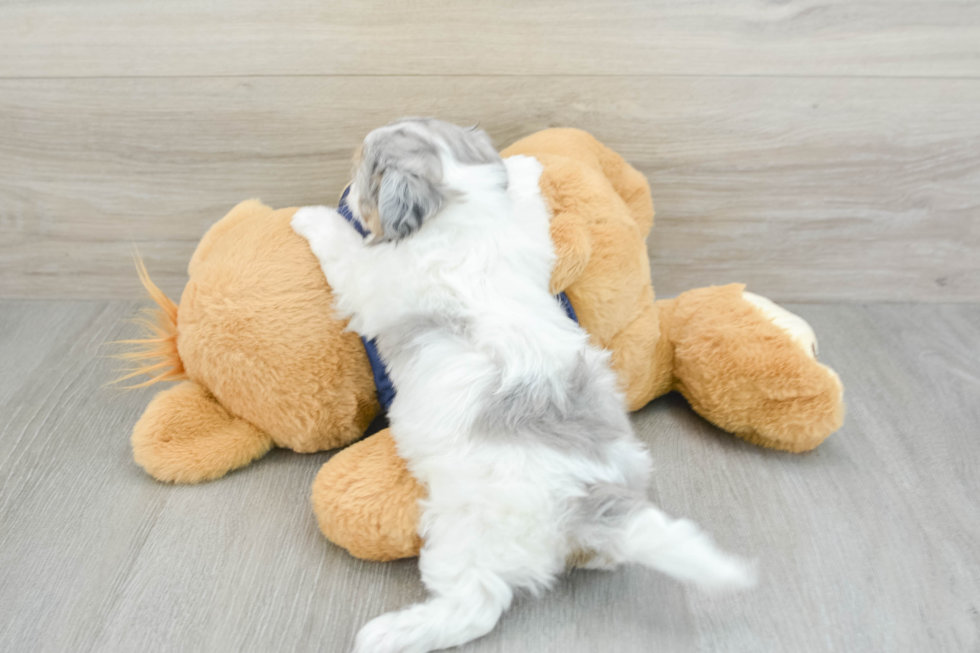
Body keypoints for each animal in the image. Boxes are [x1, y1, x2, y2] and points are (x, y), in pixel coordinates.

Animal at [294, 118, 756, 652]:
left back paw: (392, 632)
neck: (462, 216)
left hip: (468, 532)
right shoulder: (527, 244)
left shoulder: (371, 279)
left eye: (364, 170)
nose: (347, 186)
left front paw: (312, 215)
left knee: (476, 604)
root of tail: (589, 498)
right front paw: (526, 168)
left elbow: (343, 250)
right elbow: (530, 212)